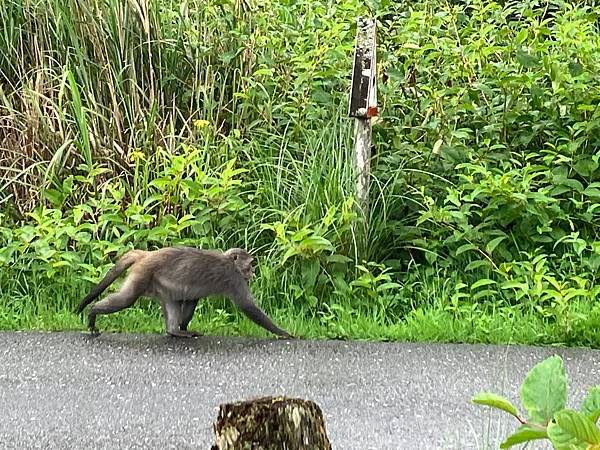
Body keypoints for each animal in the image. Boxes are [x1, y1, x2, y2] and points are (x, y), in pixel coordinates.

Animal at [74, 248, 294, 340]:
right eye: (250, 265)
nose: (253, 273)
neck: (229, 261)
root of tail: (146, 255)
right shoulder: (234, 278)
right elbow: (247, 305)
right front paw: (283, 333)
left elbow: (191, 299)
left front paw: (183, 326)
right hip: (143, 274)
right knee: (126, 299)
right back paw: (93, 312)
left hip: (156, 282)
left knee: (170, 300)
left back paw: (174, 331)